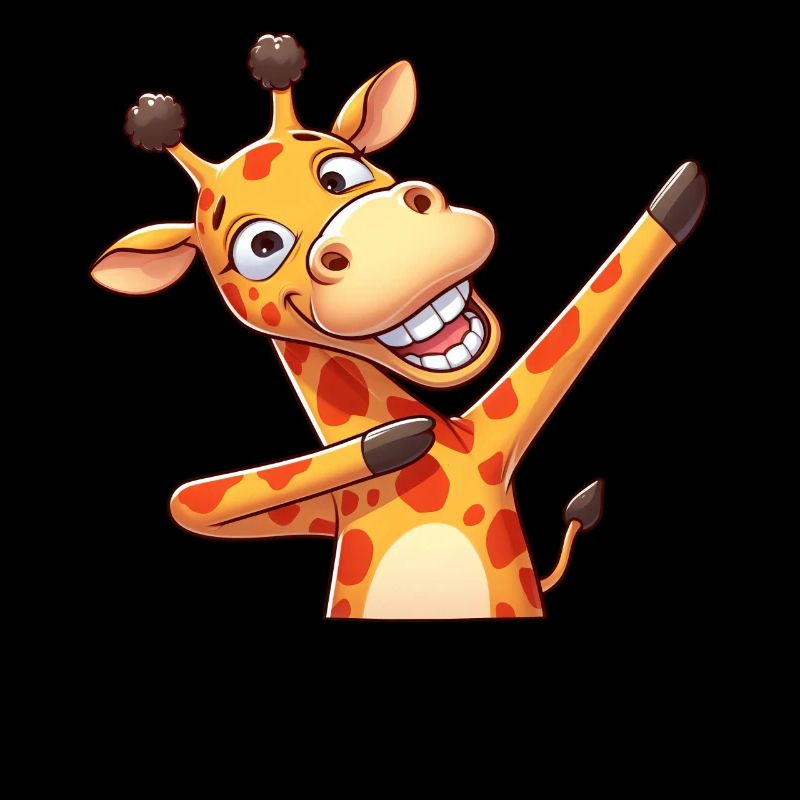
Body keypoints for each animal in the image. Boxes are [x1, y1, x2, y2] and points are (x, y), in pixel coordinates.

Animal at [92, 34, 707, 619]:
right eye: (261, 247)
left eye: (341, 174)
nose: (388, 234)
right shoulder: (320, 507)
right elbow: (190, 501)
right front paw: (394, 439)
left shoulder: (496, 441)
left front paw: (677, 199)